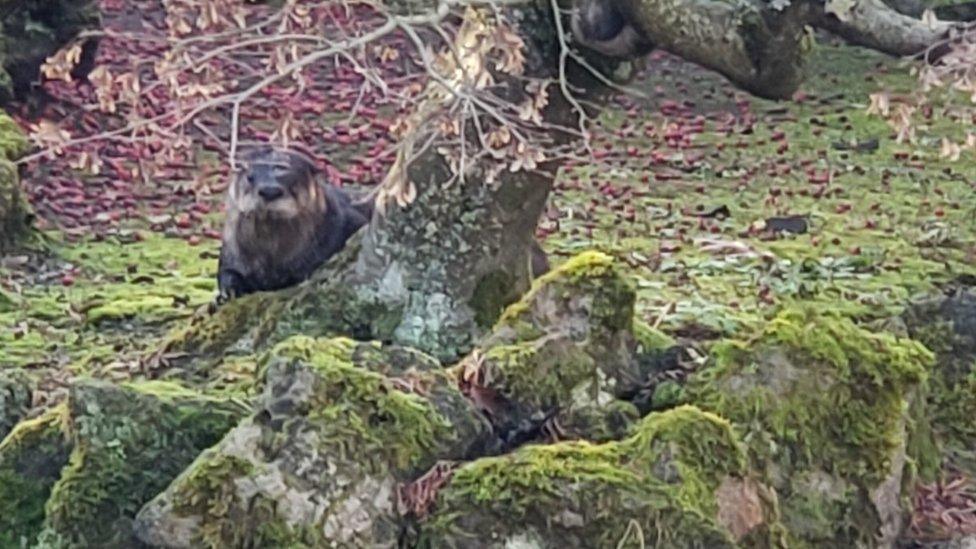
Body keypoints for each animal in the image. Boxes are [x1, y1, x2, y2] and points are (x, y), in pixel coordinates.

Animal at [215, 148, 372, 302]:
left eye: (285, 172)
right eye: (249, 177)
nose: (269, 191)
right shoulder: (231, 250)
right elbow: (228, 272)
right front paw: (226, 294)